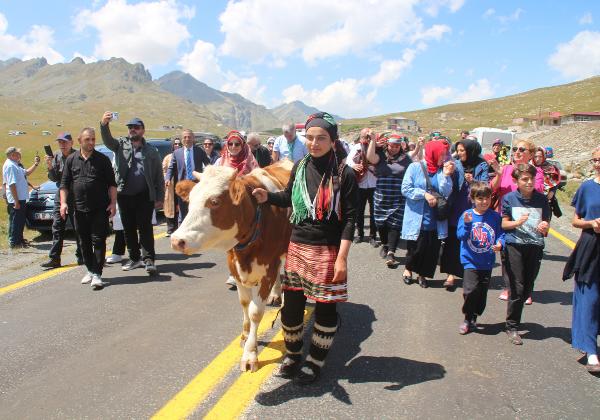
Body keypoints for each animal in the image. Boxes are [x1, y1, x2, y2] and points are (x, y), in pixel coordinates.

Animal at [169, 161, 292, 370]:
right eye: (190, 199)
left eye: (215, 201)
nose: (177, 240)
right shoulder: (234, 267)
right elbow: (244, 303)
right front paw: (245, 335)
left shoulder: (268, 268)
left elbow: (255, 312)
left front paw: (250, 354)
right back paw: (276, 294)